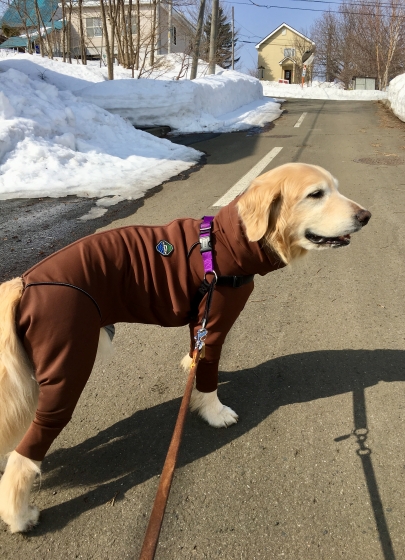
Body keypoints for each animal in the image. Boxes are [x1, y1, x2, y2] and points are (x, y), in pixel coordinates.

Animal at [0, 163, 371, 533]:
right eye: (316, 194)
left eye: (335, 188)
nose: (366, 216)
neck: (225, 246)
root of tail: (25, 283)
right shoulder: (215, 324)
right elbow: (207, 379)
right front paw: (215, 412)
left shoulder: (201, 324)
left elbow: (195, 357)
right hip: (67, 370)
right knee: (25, 454)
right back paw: (19, 516)